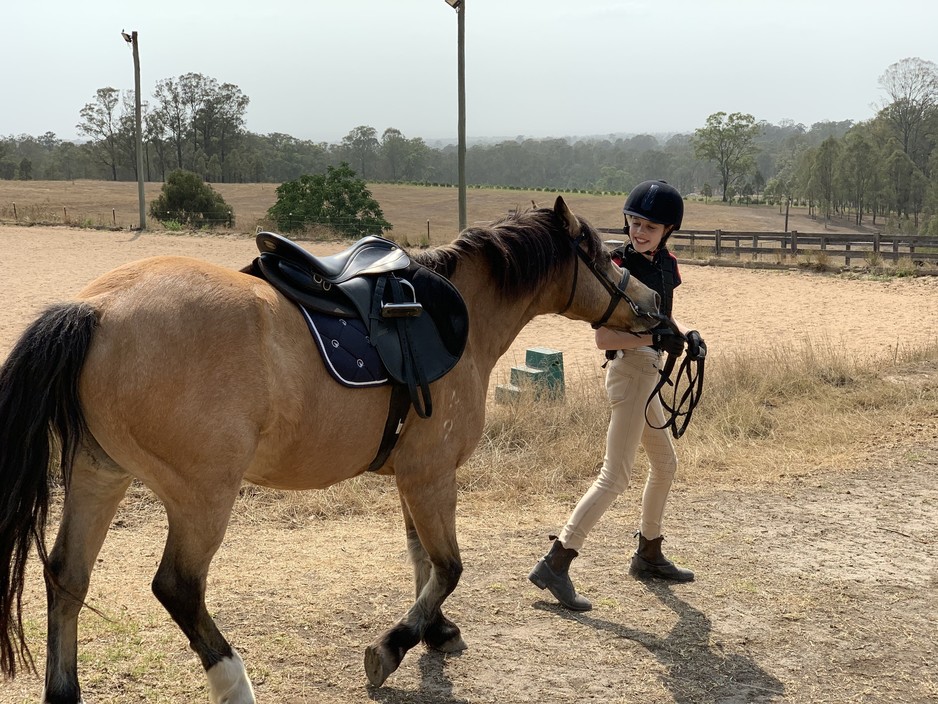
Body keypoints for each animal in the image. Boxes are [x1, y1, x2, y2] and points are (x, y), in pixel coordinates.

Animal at [0, 195, 660, 700]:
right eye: (604, 253)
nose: (653, 305)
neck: (459, 315)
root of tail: (96, 308)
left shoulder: (413, 477)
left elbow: (423, 560)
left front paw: (435, 631)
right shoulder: (433, 475)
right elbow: (448, 566)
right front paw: (393, 647)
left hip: (100, 475)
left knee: (66, 577)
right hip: (202, 496)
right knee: (178, 588)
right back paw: (235, 683)